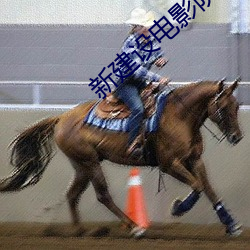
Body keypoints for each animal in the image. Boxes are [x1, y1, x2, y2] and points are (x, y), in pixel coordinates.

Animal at [0, 78, 243, 236]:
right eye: (222, 107)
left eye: (236, 105)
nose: (237, 137)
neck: (179, 116)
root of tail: (62, 118)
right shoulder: (170, 164)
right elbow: (197, 186)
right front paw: (178, 208)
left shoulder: (194, 160)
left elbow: (209, 189)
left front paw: (231, 225)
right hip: (90, 162)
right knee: (102, 195)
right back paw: (134, 226)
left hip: (82, 165)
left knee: (72, 195)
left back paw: (81, 231)